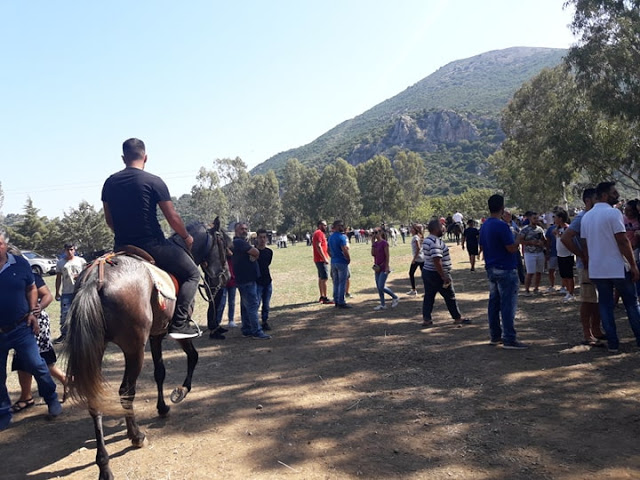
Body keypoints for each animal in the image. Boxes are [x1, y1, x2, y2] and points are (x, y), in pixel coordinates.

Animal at [65, 220, 229, 480]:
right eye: (224, 245)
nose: (226, 276)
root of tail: (96, 278)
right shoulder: (172, 331)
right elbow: (192, 357)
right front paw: (181, 391)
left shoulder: (155, 334)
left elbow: (159, 372)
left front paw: (162, 407)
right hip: (134, 349)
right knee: (126, 390)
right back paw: (136, 435)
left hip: (96, 349)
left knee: (95, 400)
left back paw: (104, 464)